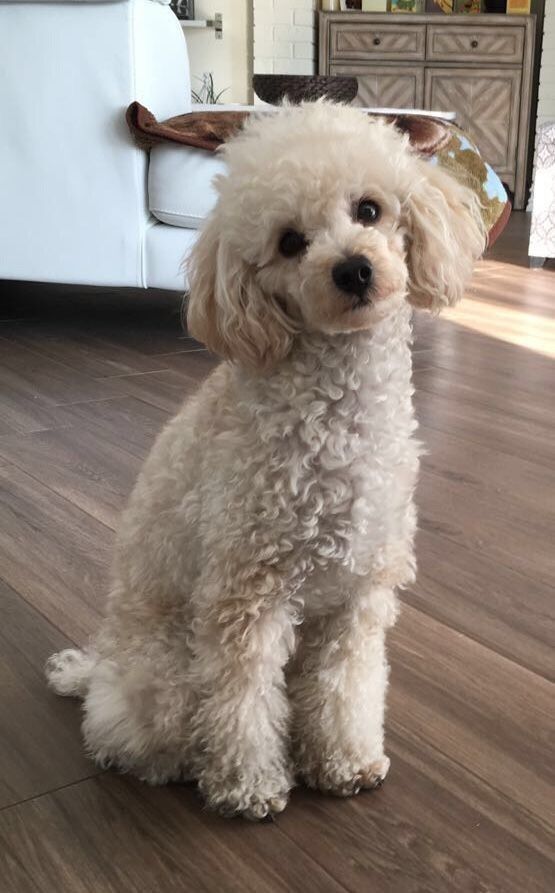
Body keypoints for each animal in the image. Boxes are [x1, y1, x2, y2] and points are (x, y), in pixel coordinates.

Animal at [45, 101, 484, 820]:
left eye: (368, 210)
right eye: (289, 242)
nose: (353, 269)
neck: (339, 408)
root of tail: (101, 664)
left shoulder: (355, 598)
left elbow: (344, 686)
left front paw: (344, 761)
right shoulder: (244, 596)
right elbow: (243, 701)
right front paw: (248, 786)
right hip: (169, 672)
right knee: (127, 732)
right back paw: (164, 758)